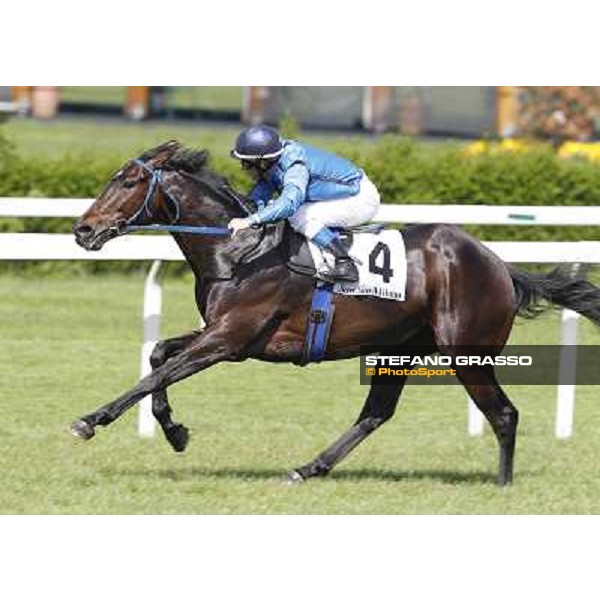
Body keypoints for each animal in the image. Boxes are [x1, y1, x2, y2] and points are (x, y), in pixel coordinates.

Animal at [69, 142, 600, 488]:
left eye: (129, 180)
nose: (83, 230)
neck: (237, 250)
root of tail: (500, 265)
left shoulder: (228, 339)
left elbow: (156, 375)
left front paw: (91, 419)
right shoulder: (222, 336)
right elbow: (159, 357)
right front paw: (175, 433)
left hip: (466, 352)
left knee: (503, 413)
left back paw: (503, 485)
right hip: (398, 351)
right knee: (376, 413)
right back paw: (308, 468)